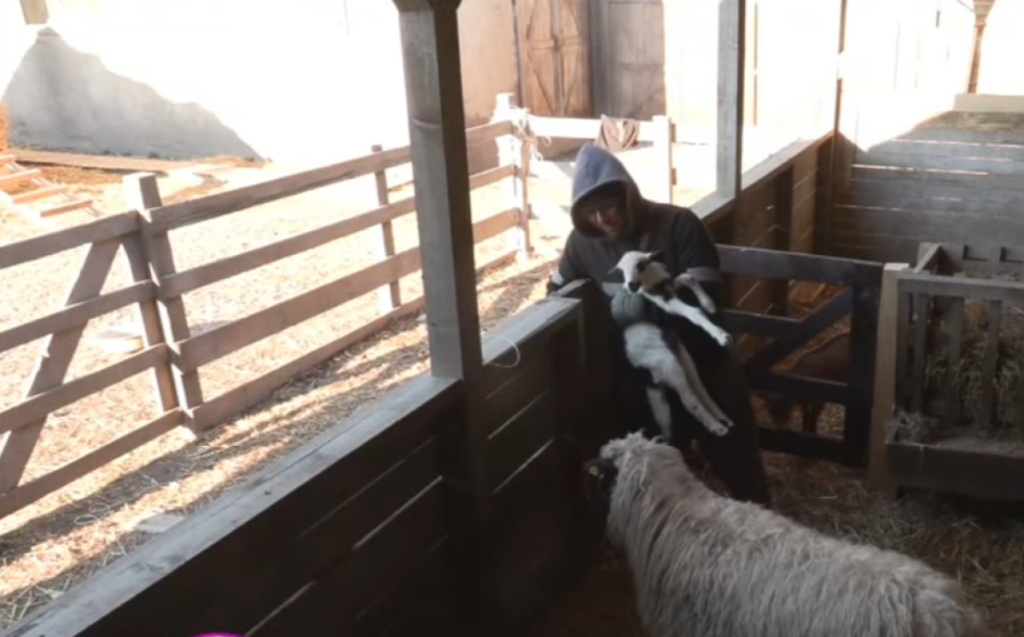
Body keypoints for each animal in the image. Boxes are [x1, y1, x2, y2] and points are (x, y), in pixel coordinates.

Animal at [609, 250, 735, 439]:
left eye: (641, 264)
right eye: (620, 270)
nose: (631, 286)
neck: (652, 282)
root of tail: (643, 370)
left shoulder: (669, 291)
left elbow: (686, 277)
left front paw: (709, 305)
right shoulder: (663, 303)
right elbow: (694, 312)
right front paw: (721, 336)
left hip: (670, 371)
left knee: (674, 410)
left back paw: (721, 419)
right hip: (668, 365)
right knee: (688, 401)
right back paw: (717, 428)